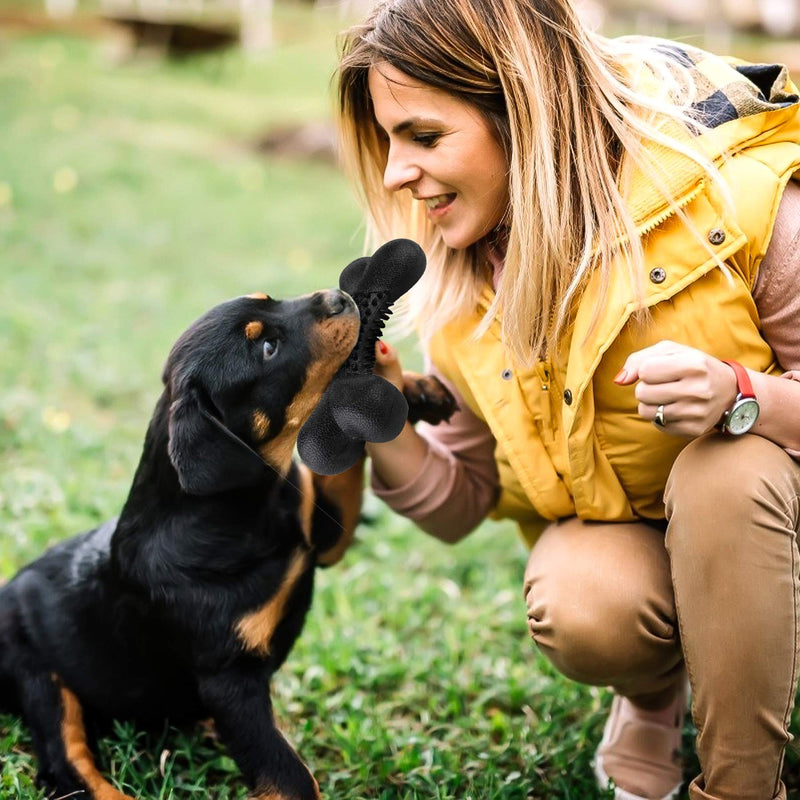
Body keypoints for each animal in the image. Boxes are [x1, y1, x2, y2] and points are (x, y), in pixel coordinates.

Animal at [0, 290, 456, 800]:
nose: (338, 297)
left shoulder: (323, 535)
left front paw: (413, 388)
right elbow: (288, 776)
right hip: (37, 674)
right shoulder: (230, 681)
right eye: (267, 349)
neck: (242, 510)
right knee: (66, 763)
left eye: (270, 300)